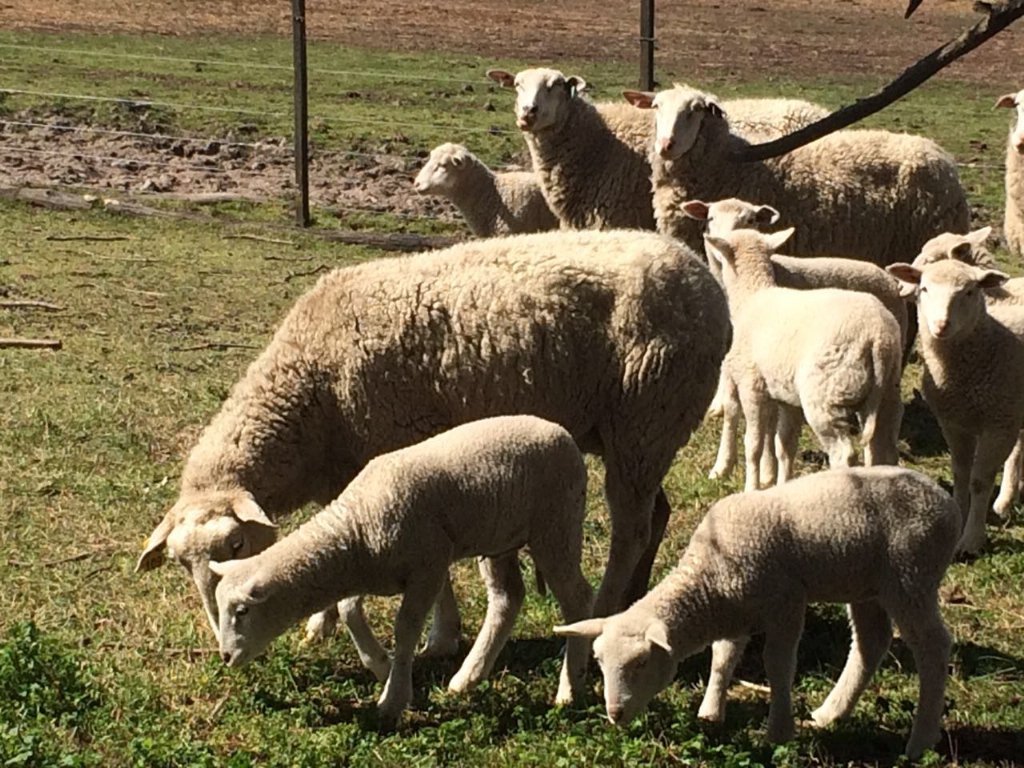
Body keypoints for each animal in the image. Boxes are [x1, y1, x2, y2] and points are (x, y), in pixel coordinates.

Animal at [136, 228, 731, 671]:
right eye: (182, 565)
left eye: (235, 546)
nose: (221, 640)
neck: (309, 389)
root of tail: (701, 276)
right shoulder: (341, 474)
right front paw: (319, 624)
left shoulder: (405, 448)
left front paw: (440, 636)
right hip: (636, 434)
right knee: (656, 513)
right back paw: (632, 598)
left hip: (644, 419)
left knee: (630, 529)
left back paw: (604, 608)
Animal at [211, 415, 595, 727]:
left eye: (242, 611)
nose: (226, 657)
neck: (355, 526)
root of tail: (560, 432)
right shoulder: (364, 567)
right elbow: (349, 609)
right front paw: (380, 664)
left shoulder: (429, 566)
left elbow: (406, 629)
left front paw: (393, 698)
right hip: (499, 537)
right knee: (507, 598)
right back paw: (468, 677)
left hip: (556, 524)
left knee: (577, 599)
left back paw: (569, 688)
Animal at [555, 466, 959, 761]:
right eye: (599, 662)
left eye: (641, 663)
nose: (615, 714)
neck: (710, 576)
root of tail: (943, 499)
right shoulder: (735, 607)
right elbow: (723, 656)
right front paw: (711, 711)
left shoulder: (785, 604)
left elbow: (777, 665)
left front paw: (777, 732)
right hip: (866, 584)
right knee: (870, 642)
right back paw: (830, 714)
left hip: (910, 576)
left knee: (933, 647)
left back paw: (920, 741)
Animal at [683, 198, 909, 482]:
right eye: (710, 218)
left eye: (750, 220)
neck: (753, 293)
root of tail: (876, 337)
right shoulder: (783, 394)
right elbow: (783, 444)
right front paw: (774, 480)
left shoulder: (752, 383)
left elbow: (754, 442)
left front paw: (754, 483)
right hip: (887, 391)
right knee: (884, 448)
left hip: (824, 395)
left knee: (843, 454)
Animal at [889, 256, 1024, 554]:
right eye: (924, 288)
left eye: (970, 292)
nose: (941, 325)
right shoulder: (954, 422)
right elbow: (961, 474)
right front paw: (959, 520)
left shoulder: (998, 424)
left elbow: (979, 481)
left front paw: (972, 540)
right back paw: (1005, 501)